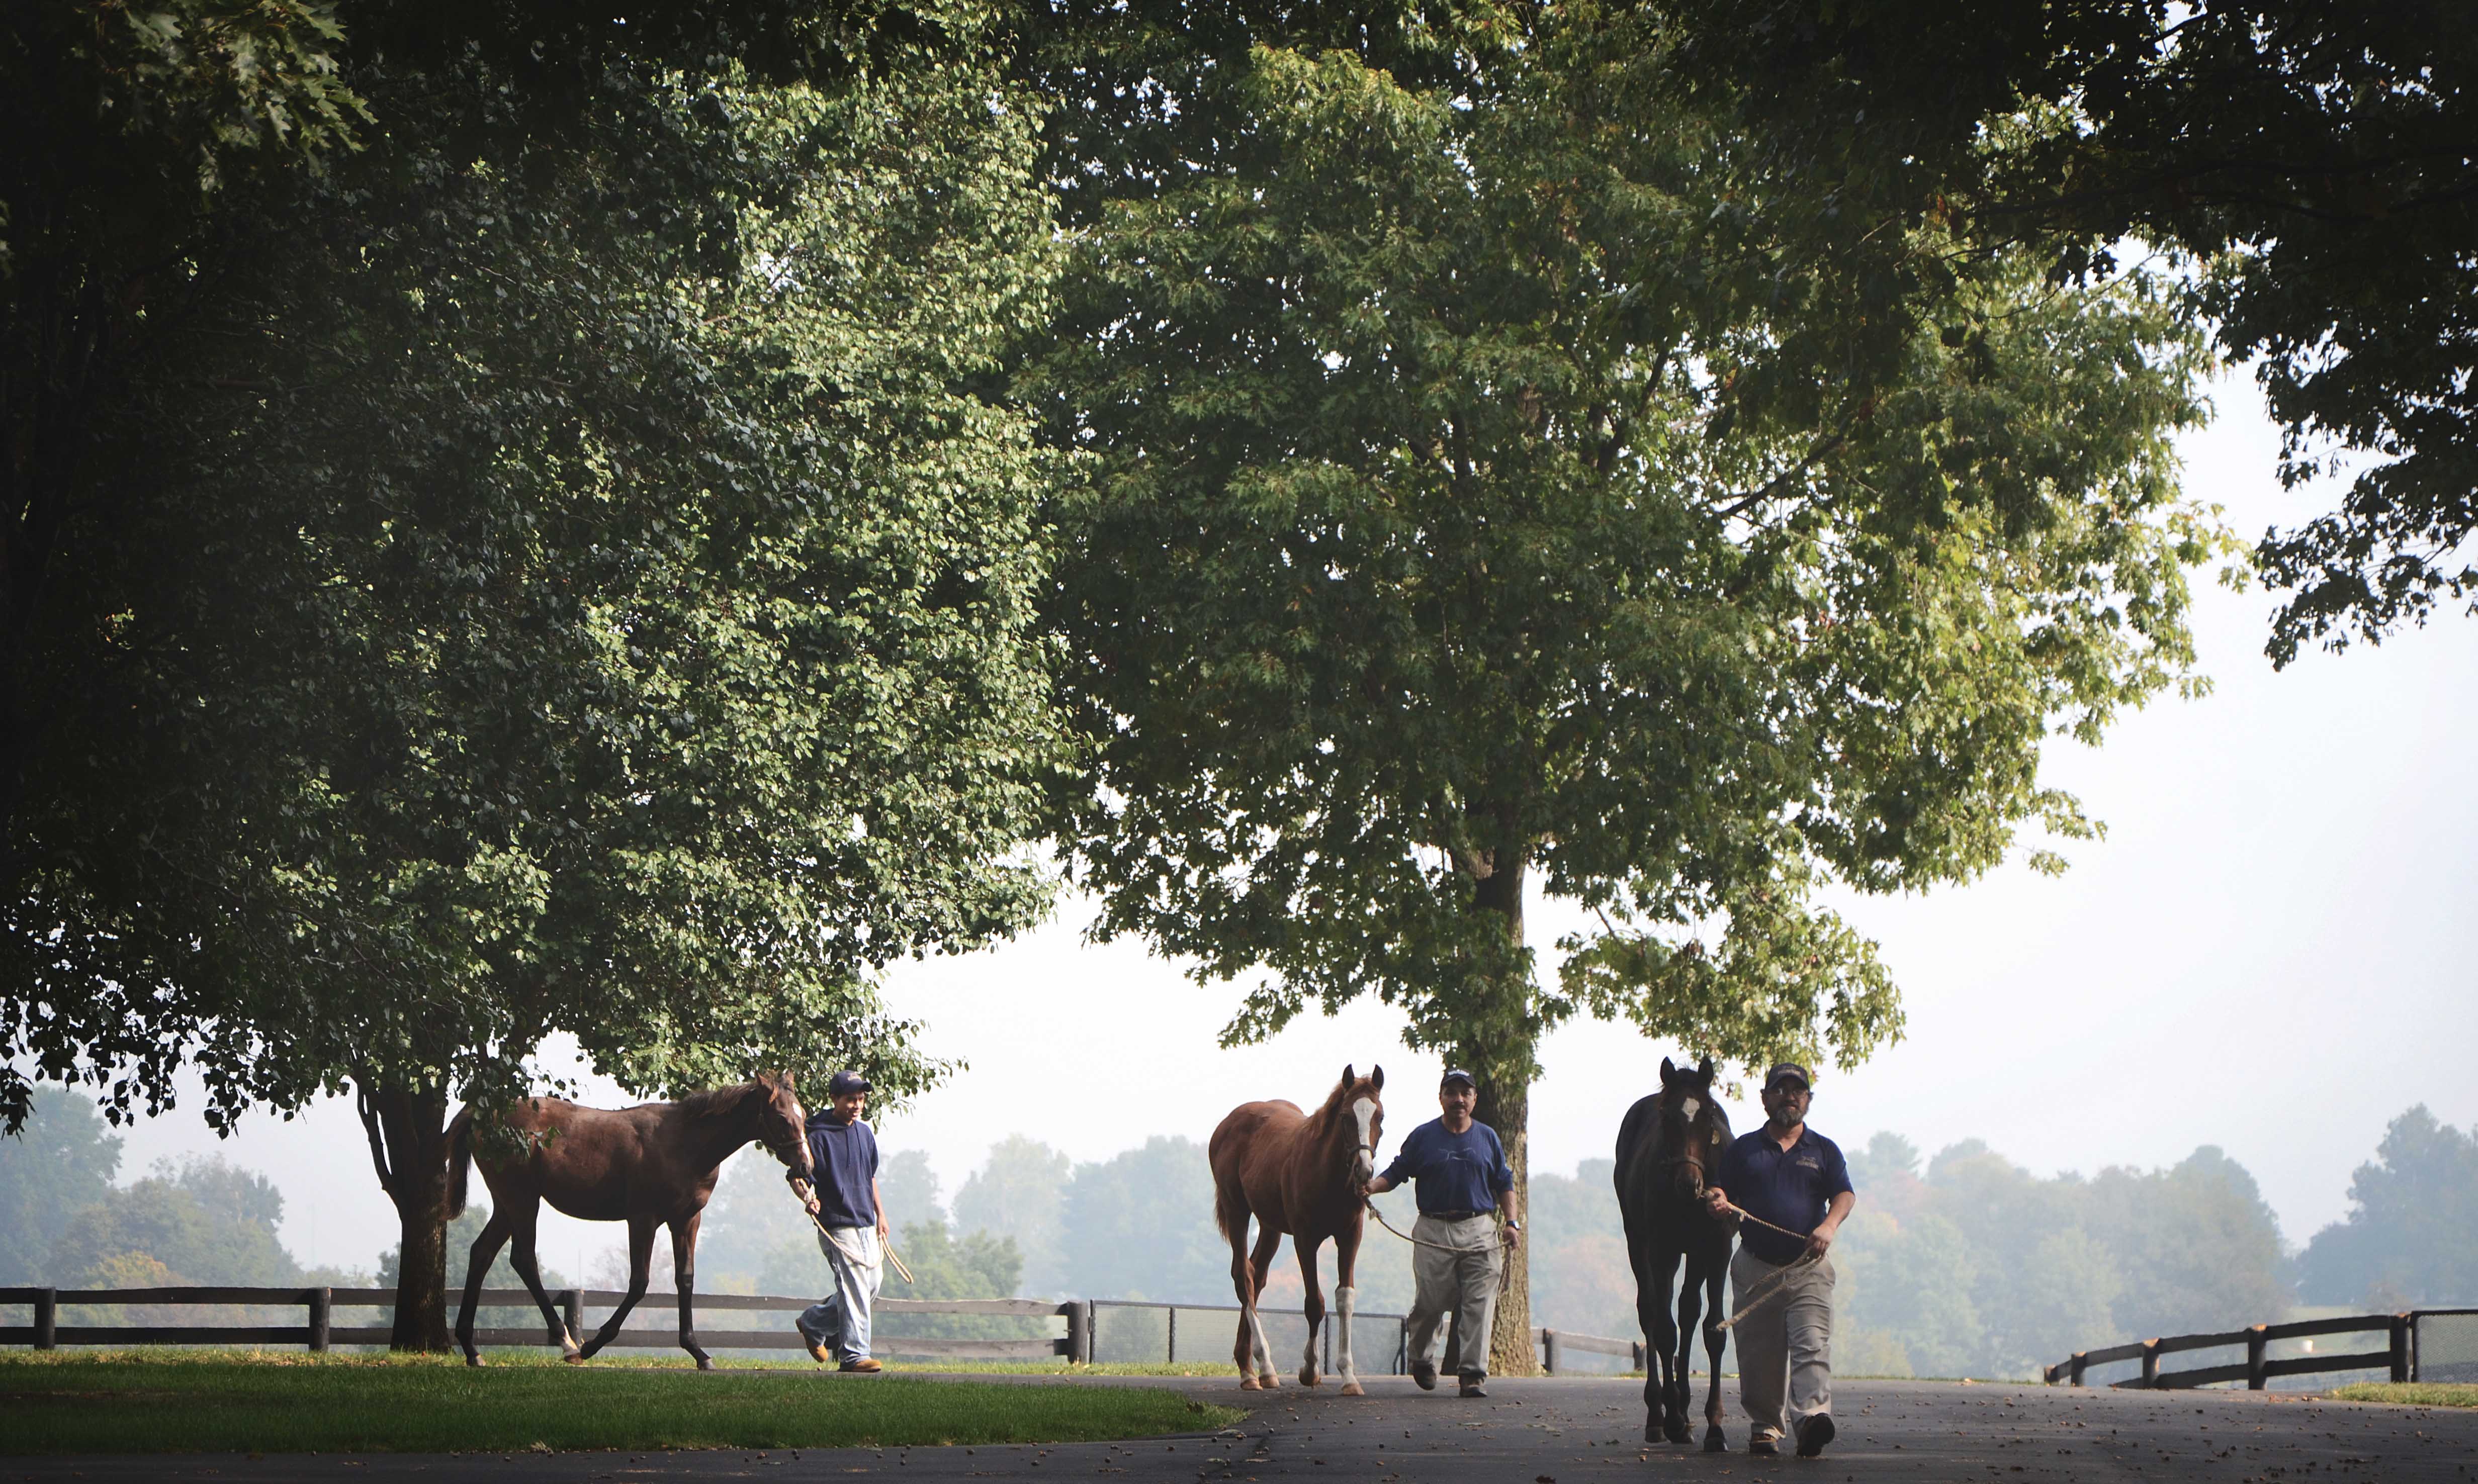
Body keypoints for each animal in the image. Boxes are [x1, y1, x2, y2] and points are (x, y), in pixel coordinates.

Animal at [446, 1075, 813, 1377]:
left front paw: (698, 1351)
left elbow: (685, 1280)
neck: (684, 1143)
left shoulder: (687, 1220)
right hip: (522, 1200)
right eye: (782, 1118)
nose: (805, 1169)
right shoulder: (643, 1219)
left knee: (482, 1253)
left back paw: (472, 1349)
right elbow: (639, 1284)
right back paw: (567, 1343)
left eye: (804, 1115)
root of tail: (482, 1115)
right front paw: (593, 1346)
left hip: (507, 1205)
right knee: (523, 1260)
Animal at [1209, 1070, 1387, 1397]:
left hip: (1270, 1227)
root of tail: (1227, 1124)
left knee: (1257, 1275)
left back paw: (1250, 1367)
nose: (1364, 1170)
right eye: (1345, 1117)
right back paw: (1262, 1368)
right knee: (1244, 1276)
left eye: (1379, 1116)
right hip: (1237, 1210)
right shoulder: (1306, 1239)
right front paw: (1310, 1370)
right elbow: (1314, 1303)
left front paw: (1349, 1376)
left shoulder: (1350, 1237)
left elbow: (1345, 1299)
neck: (1326, 1173)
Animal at [1616, 1055, 1734, 1447]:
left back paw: (1682, 1409)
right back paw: (1660, 1413)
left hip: (1694, 1255)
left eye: (1709, 1116)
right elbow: (1664, 1328)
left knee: (1688, 1311)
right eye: (1666, 1117)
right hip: (1637, 1242)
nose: (1689, 1183)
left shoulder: (1716, 1250)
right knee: (1650, 1311)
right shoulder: (1662, 1250)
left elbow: (1712, 1328)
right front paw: (1670, 1418)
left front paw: (1714, 1425)